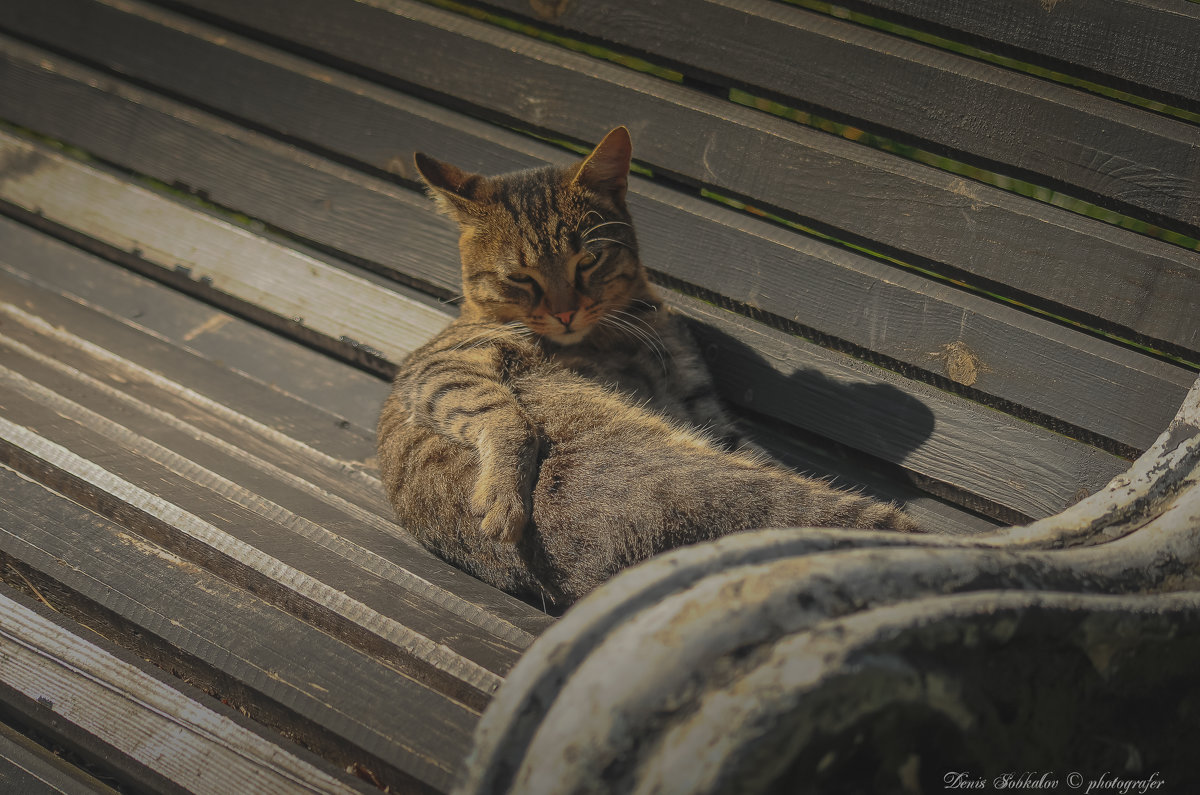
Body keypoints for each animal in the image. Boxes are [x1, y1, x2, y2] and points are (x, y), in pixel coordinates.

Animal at [376, 127, 916, 607]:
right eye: (520, 279)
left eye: (588, 260)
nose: (565, 312)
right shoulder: (440, 366)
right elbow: (503, 416)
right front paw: (501, 497)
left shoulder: (707, 412)